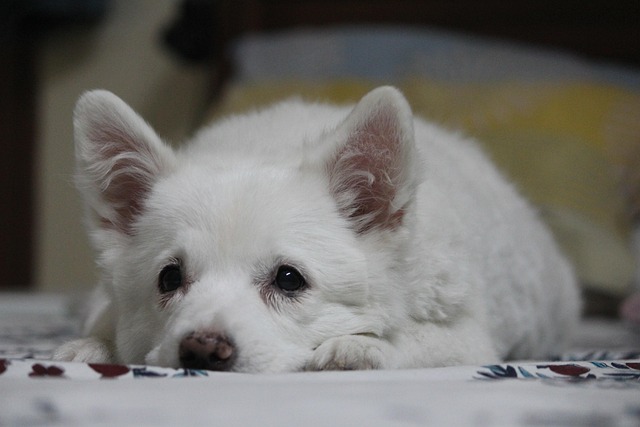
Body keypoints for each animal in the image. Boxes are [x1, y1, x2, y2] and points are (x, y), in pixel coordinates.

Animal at [55, 86, 580, 372]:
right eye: (169, 279)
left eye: (289, 279)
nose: (202, 349)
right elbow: (103, 329)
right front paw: (92, 346)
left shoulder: (468, 337)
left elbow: (412, 341)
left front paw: (358, 345)